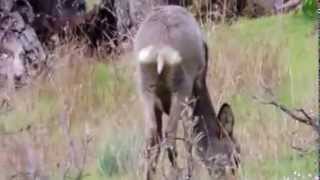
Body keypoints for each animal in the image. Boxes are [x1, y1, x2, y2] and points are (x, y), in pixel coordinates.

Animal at [133, 4, 240, 179]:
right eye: (236, 154)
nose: (235, 171)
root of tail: (159, 50)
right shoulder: (193, 92)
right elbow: (192, 134)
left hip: (146, 89)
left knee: (151, 137)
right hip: (181, 86)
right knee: (172, 136)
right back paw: (182, 172)